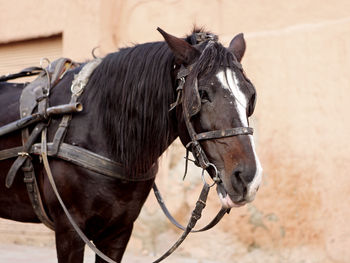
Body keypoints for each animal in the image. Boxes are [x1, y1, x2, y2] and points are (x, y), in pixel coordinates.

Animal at [0, 27, 262, 262]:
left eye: (250, 96)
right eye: (203, 94)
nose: (248, 178)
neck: (100, 127)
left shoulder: (119, 231)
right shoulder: (69, 231)